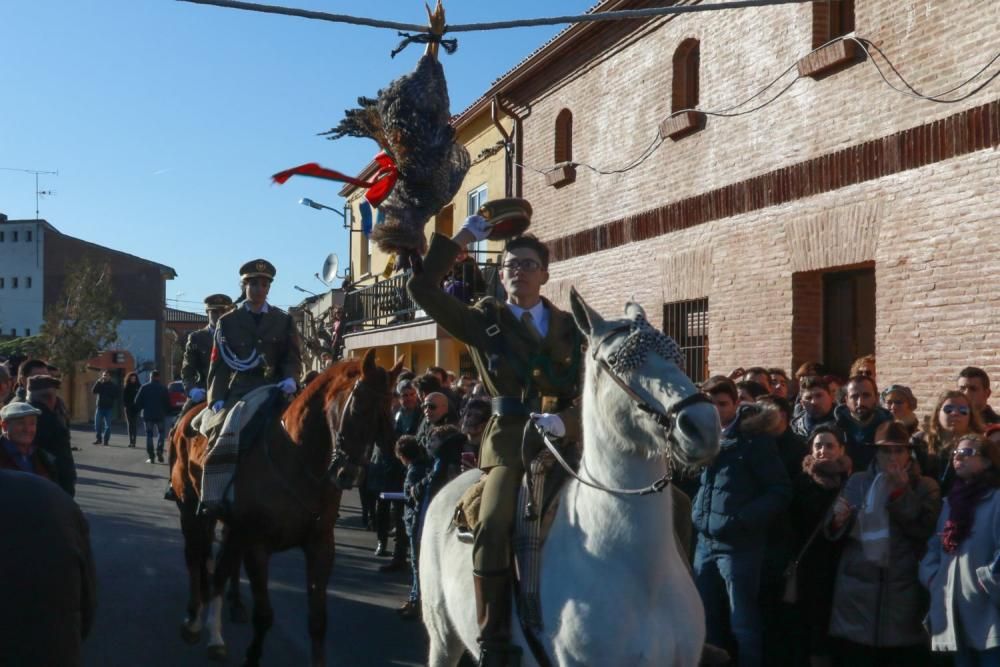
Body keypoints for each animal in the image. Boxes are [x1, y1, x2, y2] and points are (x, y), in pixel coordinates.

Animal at [173, 352, 402, 664]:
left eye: (387, 412)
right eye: (357, 407)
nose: (350, 475)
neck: (298, 456)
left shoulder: (320, 545)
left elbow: (317, 621)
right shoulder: (257, 545)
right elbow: (264, 615)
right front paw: (252, 657)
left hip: (230, 526)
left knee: (220, 568)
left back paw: (218, 631)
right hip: (190, 509)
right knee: (194, 557)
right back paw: (193, 619)